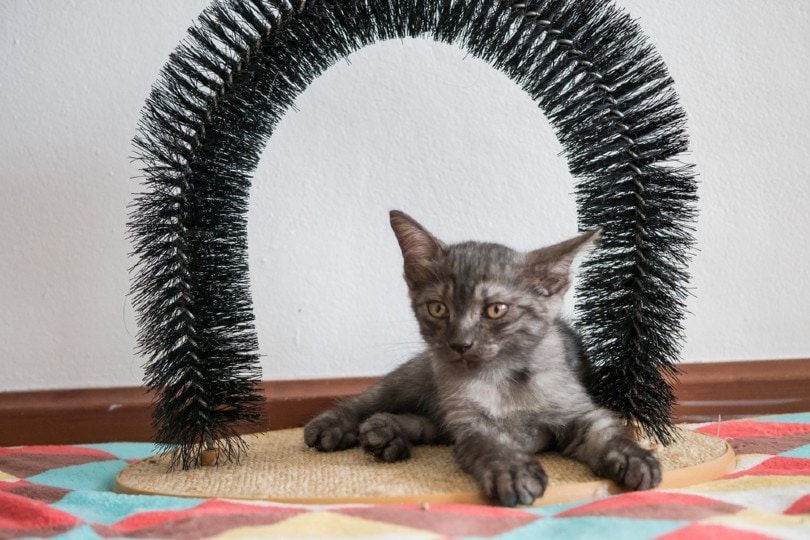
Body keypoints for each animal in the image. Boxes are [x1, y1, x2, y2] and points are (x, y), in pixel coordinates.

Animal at [302, 210, 656, 506]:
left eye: (495, 309)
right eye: (438, 308)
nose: (460, 344)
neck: (505, 379)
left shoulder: (579, 411)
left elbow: (605, 431)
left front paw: (634, 458)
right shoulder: (471, 421)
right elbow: (493, 443)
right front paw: (513, 472)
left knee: (425, 424)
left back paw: (385, 433)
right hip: (414, 379)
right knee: (367, 401)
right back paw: (336, 426)